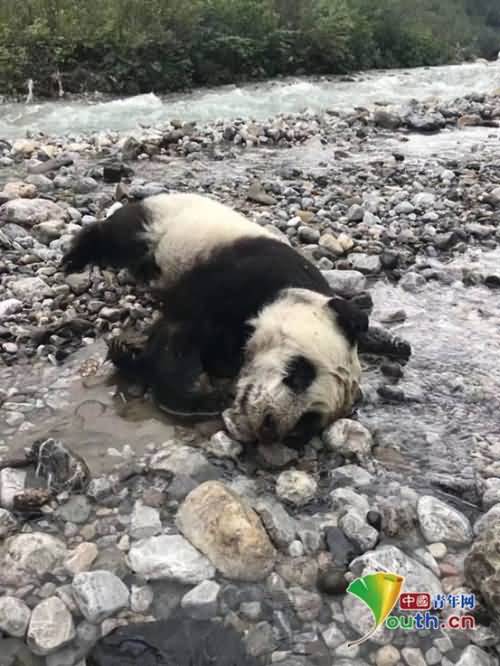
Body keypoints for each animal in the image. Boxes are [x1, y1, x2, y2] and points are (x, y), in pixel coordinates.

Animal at [62, 189, 368, 444]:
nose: (270, 426)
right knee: (117, 234)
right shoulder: (242, 277)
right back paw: (76, 256)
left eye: (308, 419)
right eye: (300, 374)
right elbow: (178, 334)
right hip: (162, 223)